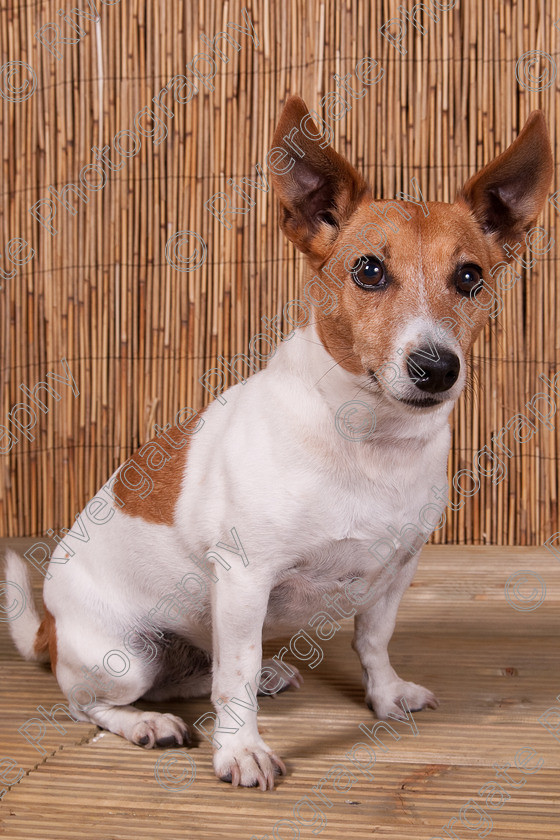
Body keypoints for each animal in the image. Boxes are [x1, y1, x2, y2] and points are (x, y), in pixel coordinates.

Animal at [6, 98, 552, 788]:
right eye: (369, 270)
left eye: (471, 277)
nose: (437, 367)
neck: (369, 439)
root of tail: (49, 629)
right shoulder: (244, 578)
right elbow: (232, 678)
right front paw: (240, 750)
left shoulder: (397, 572)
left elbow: (372, 641)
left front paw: (385, 695)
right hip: (124, 655)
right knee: (97, 705)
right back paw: (146, 724)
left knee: (196, 674)